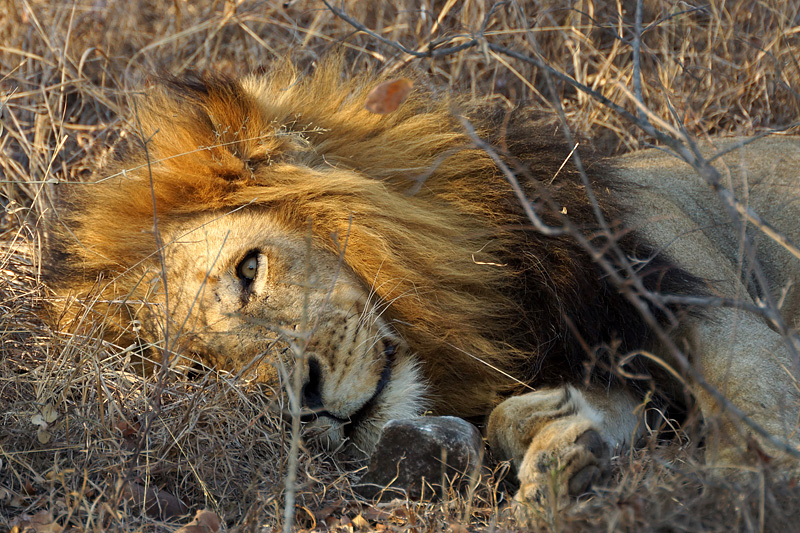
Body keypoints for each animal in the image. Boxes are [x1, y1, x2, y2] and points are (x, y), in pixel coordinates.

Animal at [42, 58, 800, 508]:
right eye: (199, 372)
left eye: (249, 269)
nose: (304, 408)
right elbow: (529, 416)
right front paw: (566, 449)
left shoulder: (707, 304)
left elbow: (751, 414)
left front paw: (731, 492)